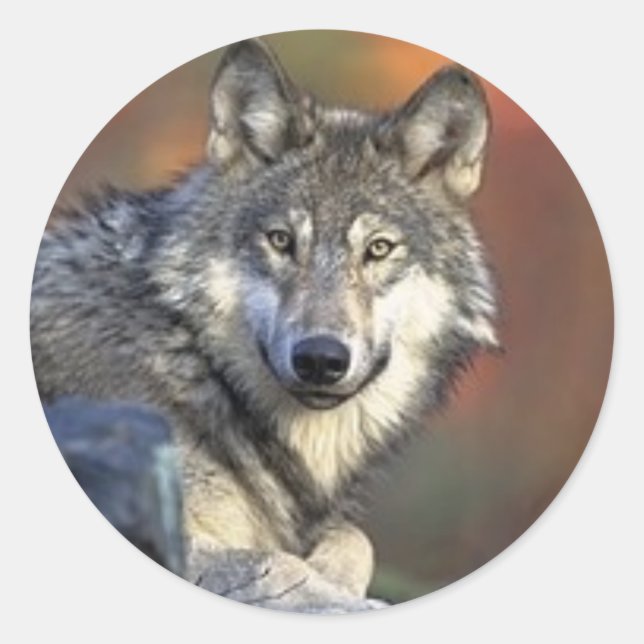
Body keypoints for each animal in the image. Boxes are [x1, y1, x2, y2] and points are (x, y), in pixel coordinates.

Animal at [30, 38, 499, 611]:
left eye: (378, 249)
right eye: (281, 241)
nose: (320, 358)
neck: (193, 362)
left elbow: (355, 539)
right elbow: (275, 567)